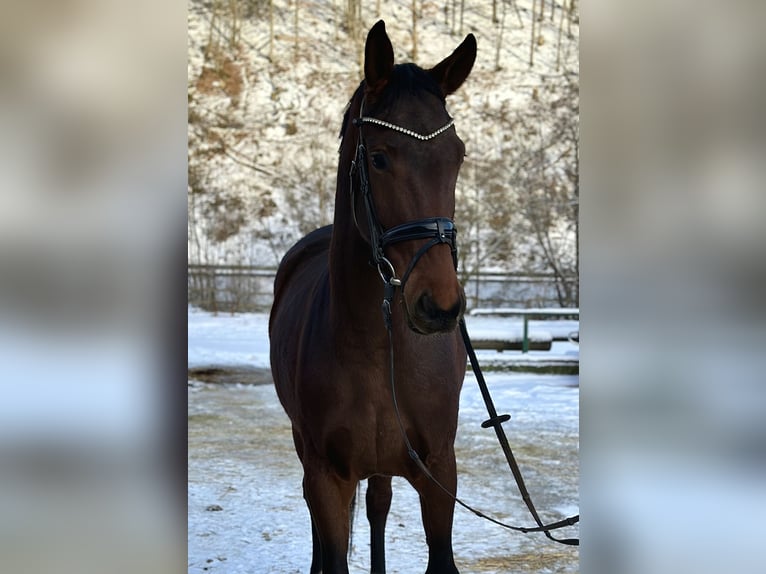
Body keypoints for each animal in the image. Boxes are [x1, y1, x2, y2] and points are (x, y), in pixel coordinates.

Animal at [268, 19, 474, 574]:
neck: (376, 349)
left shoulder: (439, 474)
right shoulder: (326, 475)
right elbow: (331, 542)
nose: (439, 306)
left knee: (379, 504)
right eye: (379, 158)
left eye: (457, 157)